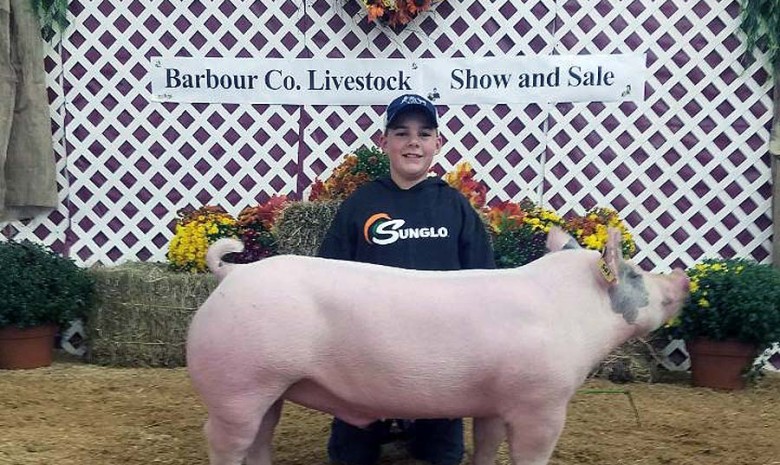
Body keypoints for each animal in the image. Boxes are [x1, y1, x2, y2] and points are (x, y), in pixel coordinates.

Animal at [187, 227, 688, 464]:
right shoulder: (542, 402)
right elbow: (531, 453)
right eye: (636, 273)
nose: (683, 277)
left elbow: (485, 447)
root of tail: (232, 274)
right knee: (221, 439)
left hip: (267, 388)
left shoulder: (494, 403)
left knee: (259, 439)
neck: (570, 313)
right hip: (237, 385)